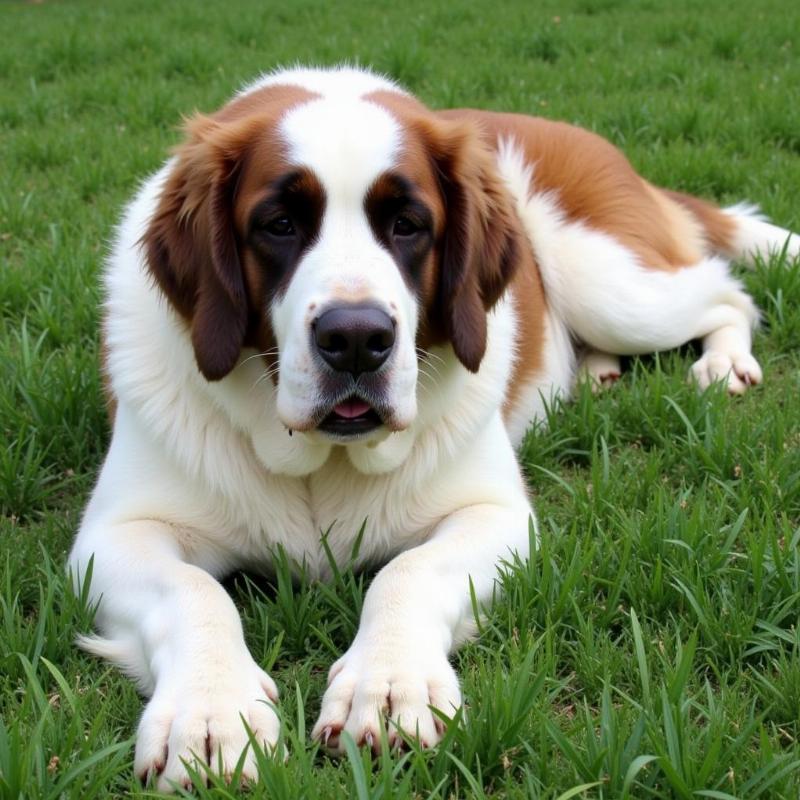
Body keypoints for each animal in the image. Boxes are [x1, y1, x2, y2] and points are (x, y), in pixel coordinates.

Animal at [65, 67, 796, 788]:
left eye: (408, 225)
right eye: (278, 224)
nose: (356, 339)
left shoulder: (497, 516)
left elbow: (410, 570)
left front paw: (388, 687)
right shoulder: (113, 537)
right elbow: (193, 590)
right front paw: (209, 715)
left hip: (616, 287)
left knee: (726, 294)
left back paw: (723, 362)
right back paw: (598, 373)